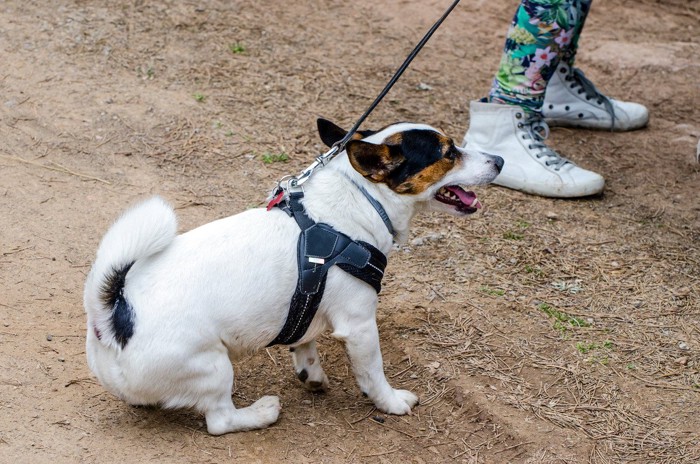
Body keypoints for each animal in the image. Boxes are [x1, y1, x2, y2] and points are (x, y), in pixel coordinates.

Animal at [85, 117, 504, 436]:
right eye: (449, 153)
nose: (500, 160)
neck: (361, 198)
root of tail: (114, 315)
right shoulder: (360, 326)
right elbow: (373, 373)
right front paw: (391, 401)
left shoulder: (307, 301)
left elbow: (305, 342)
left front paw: (312, 374)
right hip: (213, 367)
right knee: (219, 420)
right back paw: (260, 413)